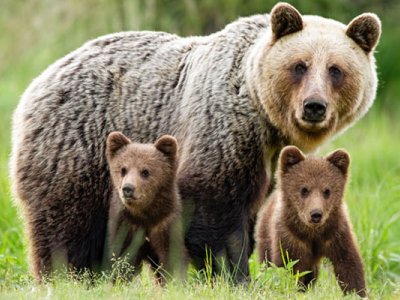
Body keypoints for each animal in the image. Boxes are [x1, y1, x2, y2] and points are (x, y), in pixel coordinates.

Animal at [103, 132, 186, 280]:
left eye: (145, 171)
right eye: (123, 169)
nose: (127, 188)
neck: (145, 216)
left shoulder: (165, 224)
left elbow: (171, 257)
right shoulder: (126, 225)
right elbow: (122, 258)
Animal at [256, 146, 366, 296]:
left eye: (327, 190)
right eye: (304, 189)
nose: (316, 214)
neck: (313, 233)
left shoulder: (336, 233)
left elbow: (349, 263)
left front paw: (356, 292)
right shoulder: (291, 237)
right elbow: (289, 267)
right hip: (265, 235)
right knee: (267, 262)